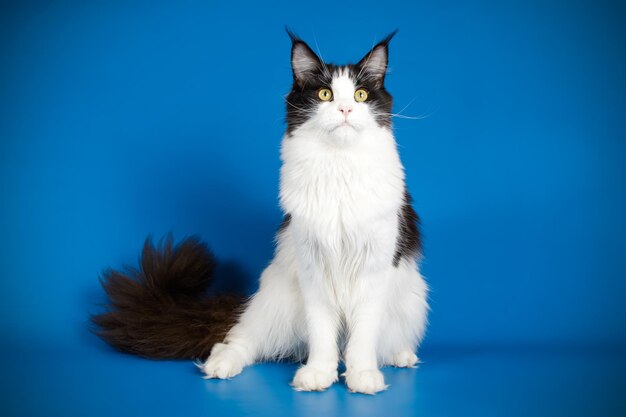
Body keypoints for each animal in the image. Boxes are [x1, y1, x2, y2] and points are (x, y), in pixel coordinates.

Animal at [92, 29, 426, 394]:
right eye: (325, 94)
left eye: (360, 95)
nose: (345, 108)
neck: (339, 167)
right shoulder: (313, 269)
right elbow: (322, 332)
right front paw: (318, 373)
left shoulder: (374, 269)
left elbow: (363, 333)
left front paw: (362, 374)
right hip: (277, 300)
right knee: (239, 339)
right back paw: (221, 365)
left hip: (410, 300)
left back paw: (400, 356)